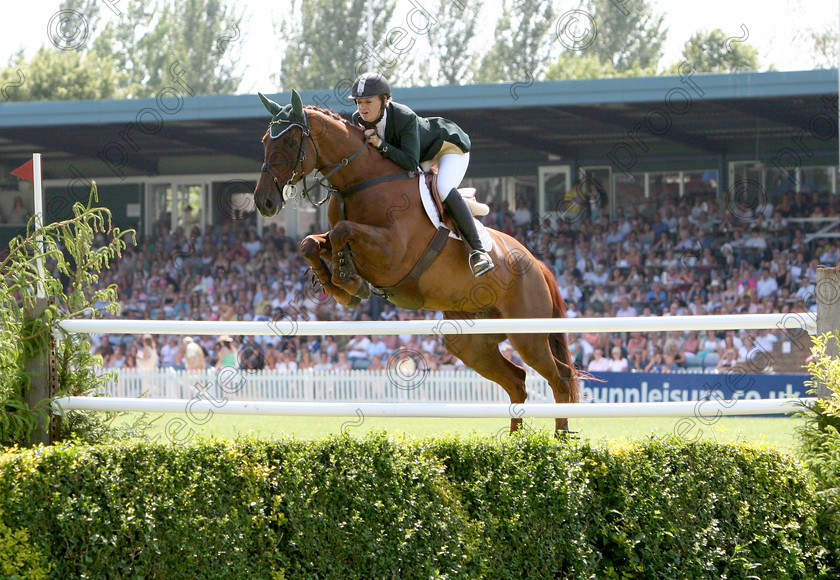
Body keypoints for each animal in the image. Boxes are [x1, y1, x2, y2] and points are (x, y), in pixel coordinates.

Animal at [251, 90, 576, 432]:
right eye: (265, 140)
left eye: (290, 141)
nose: (264, 202)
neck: (361, 181)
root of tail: (537, 265)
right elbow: (311, 244)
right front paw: (338, 285)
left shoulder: (393, 254)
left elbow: (343, 231)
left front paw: (349, 281)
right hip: (470, 342)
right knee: (517, 381)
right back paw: (516, 442)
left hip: (528, 334)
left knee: (560, 377)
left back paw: (560, 439)